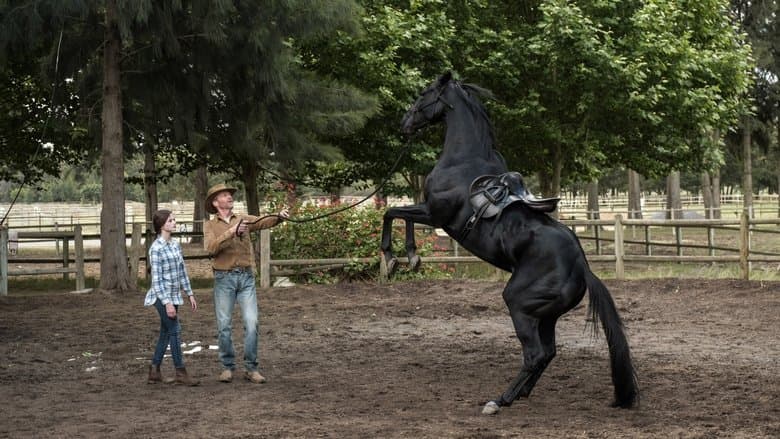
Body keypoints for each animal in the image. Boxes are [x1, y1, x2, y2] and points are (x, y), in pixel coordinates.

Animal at [381, 72, 638, 415]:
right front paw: (406, 257)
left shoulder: (435, 215)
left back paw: (500, 400)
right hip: (545, 315)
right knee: (548, 352)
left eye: (424, 93)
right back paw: (522, 393)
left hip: (519, 304)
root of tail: (582, 267)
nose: (405, 123)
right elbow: (398, 215)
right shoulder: (432, 215)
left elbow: (393, 213)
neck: (462, 161)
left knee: (535, 354)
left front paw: (398, 257)